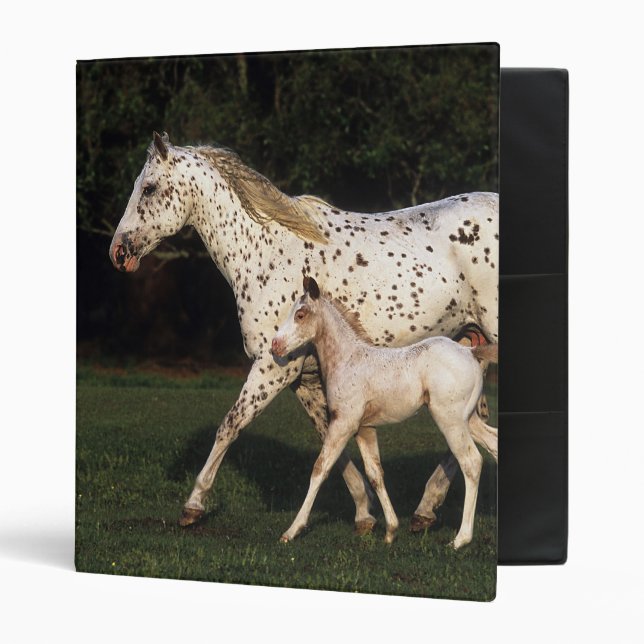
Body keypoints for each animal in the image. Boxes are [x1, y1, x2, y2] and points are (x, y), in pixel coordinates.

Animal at [271, 276, 498, 548]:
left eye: (301, 314)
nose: (275, 345)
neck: (348, 359)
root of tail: (469, 351)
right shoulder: (364, 428)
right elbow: (375, 474)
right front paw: (390, 531)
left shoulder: (343, 423)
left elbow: (320, 469)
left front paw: (291, 530)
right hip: (469, 419)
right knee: (494, 443)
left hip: (450, 420)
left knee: (472, 462)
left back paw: (461, 539)